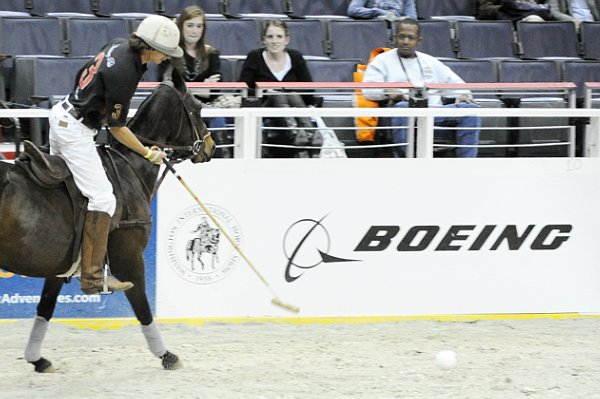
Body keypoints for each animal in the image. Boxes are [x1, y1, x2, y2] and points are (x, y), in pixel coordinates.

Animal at [0, 69, 216, 372]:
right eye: (197, 108)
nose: (210, 146)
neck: (130, 167)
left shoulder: (61, 266)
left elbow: (45, 307)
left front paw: (38, 359)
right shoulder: (128, 256)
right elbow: (142, 307)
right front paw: (166, 355)